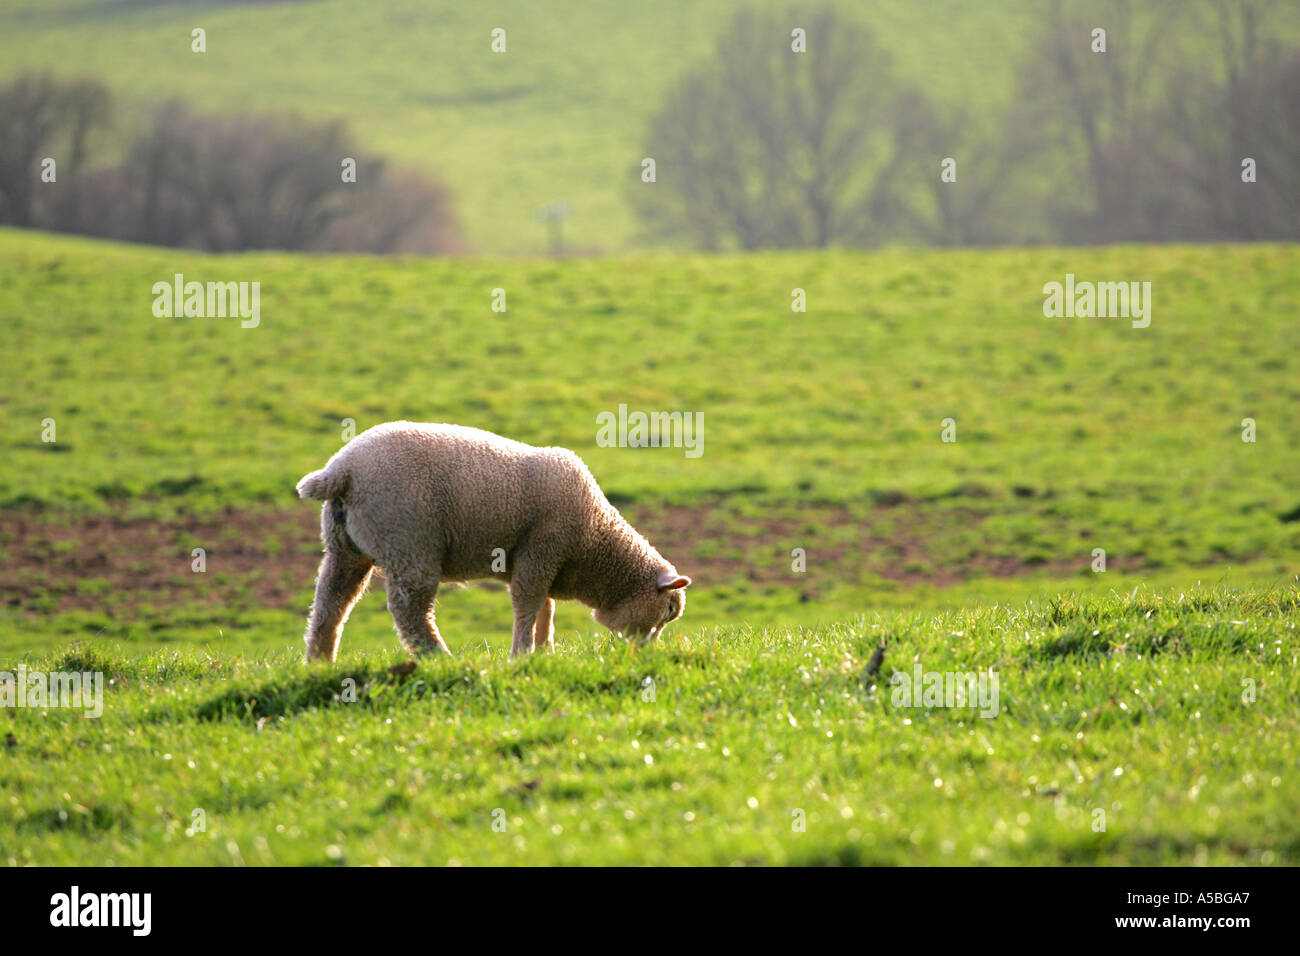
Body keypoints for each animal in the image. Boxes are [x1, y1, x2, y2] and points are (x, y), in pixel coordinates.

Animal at [296, 421, 691, 661]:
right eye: (667, 611)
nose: (646, 654)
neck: (595, 539)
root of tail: (342, 470)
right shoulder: (540, 550)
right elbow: (527, 604)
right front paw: (521, 654)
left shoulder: (545, 561)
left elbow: (546, 608)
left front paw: (544, 651)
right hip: (409, 545)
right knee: (409, 612)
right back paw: (440, 657)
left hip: (345, 548)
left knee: (331, 605)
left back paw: (320, 662)